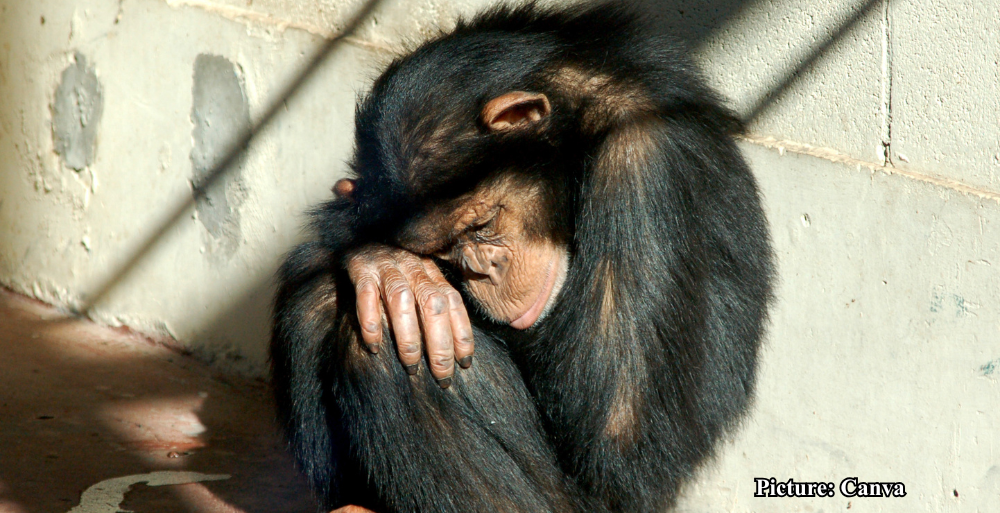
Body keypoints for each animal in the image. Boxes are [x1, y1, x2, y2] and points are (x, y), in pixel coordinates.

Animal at [270, 3, 774, 512]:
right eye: (443, 254)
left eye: (481, 225)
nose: (480, 270)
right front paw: (385, 262)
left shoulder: (643, 165)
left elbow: (618, 431)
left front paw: (395, 269)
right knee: (317, 297)